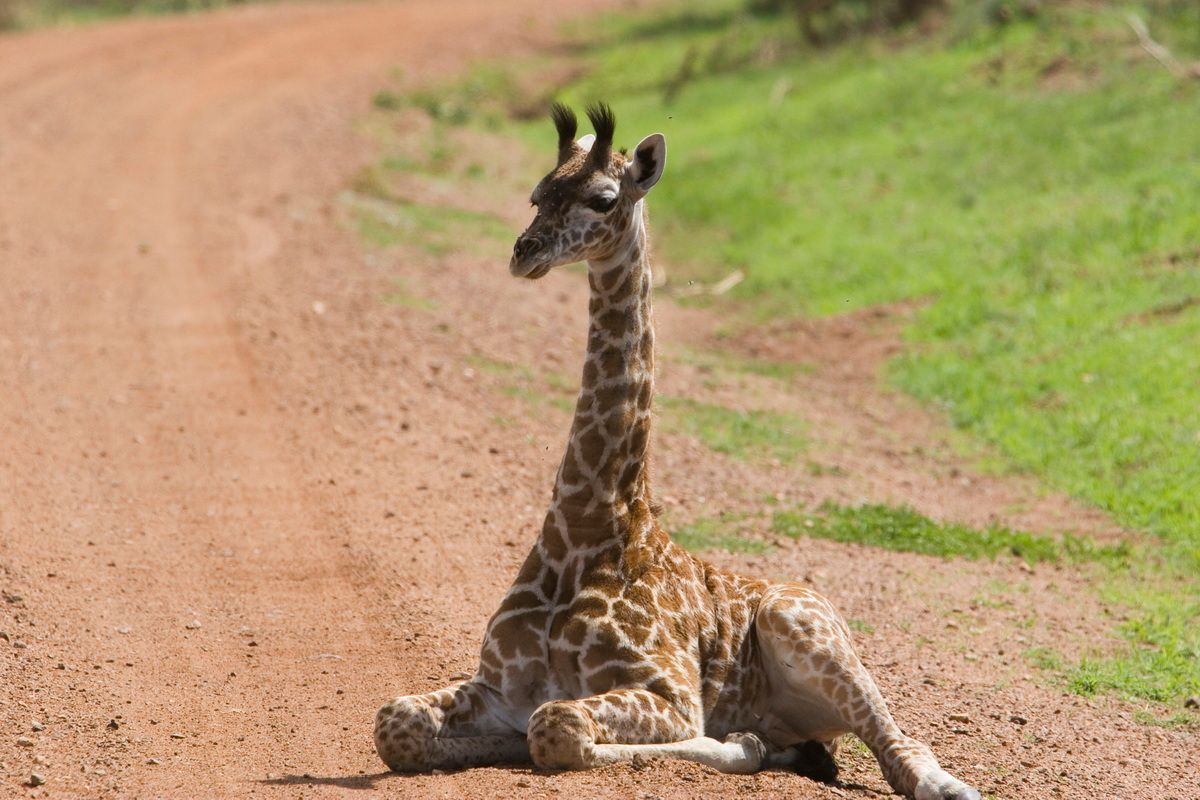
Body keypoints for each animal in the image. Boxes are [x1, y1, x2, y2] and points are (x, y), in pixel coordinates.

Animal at [374, 103, 981, 800]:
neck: (585, 531)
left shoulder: (672, 694)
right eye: (536, 194)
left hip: (806, 626)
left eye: (603, 198)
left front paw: (726, 744)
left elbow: (558, 729)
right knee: (807, 745)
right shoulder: (500, 687)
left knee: (899, 744)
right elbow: (396, 722)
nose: (525, 252)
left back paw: (932, 780)